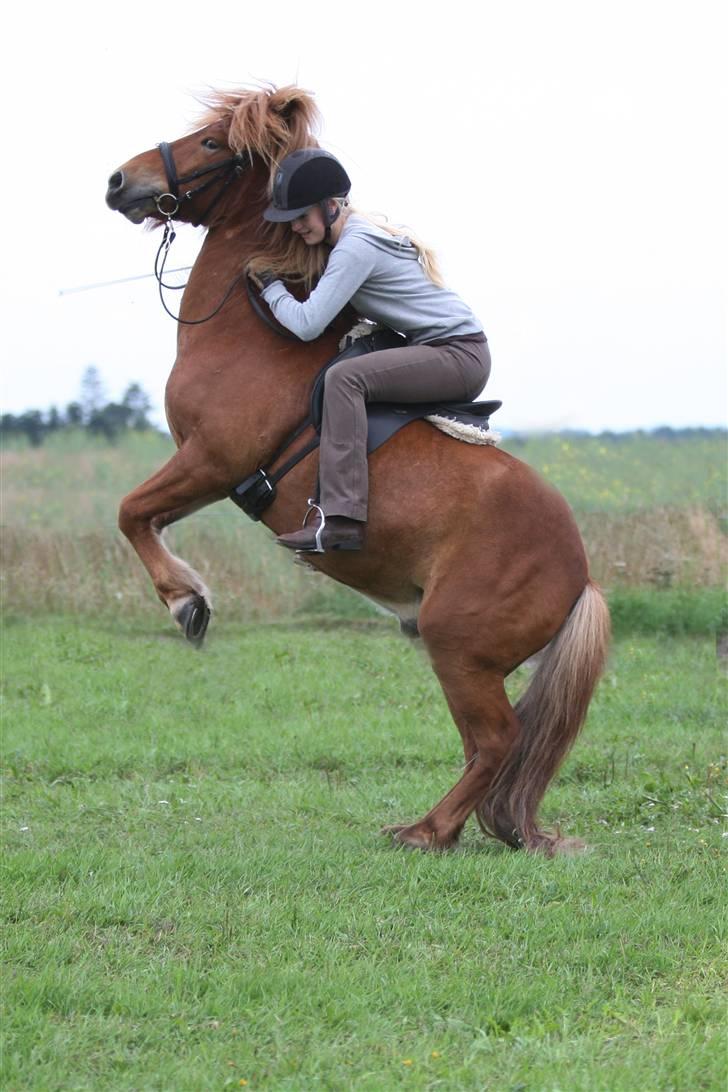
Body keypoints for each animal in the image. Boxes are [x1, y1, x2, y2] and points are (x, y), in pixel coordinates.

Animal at [105, 82, 611, 851]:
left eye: (213, 143)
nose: (119, 181)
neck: (252, 335)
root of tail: (579, 574)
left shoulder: (211, 461)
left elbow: (131, 511)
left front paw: (188, 604)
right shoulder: (207, 471)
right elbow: (140, 515)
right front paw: (188, 600)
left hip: (458, 646)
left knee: (497, 739)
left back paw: (427, 832)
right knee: (488, 745)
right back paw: (441, 826)